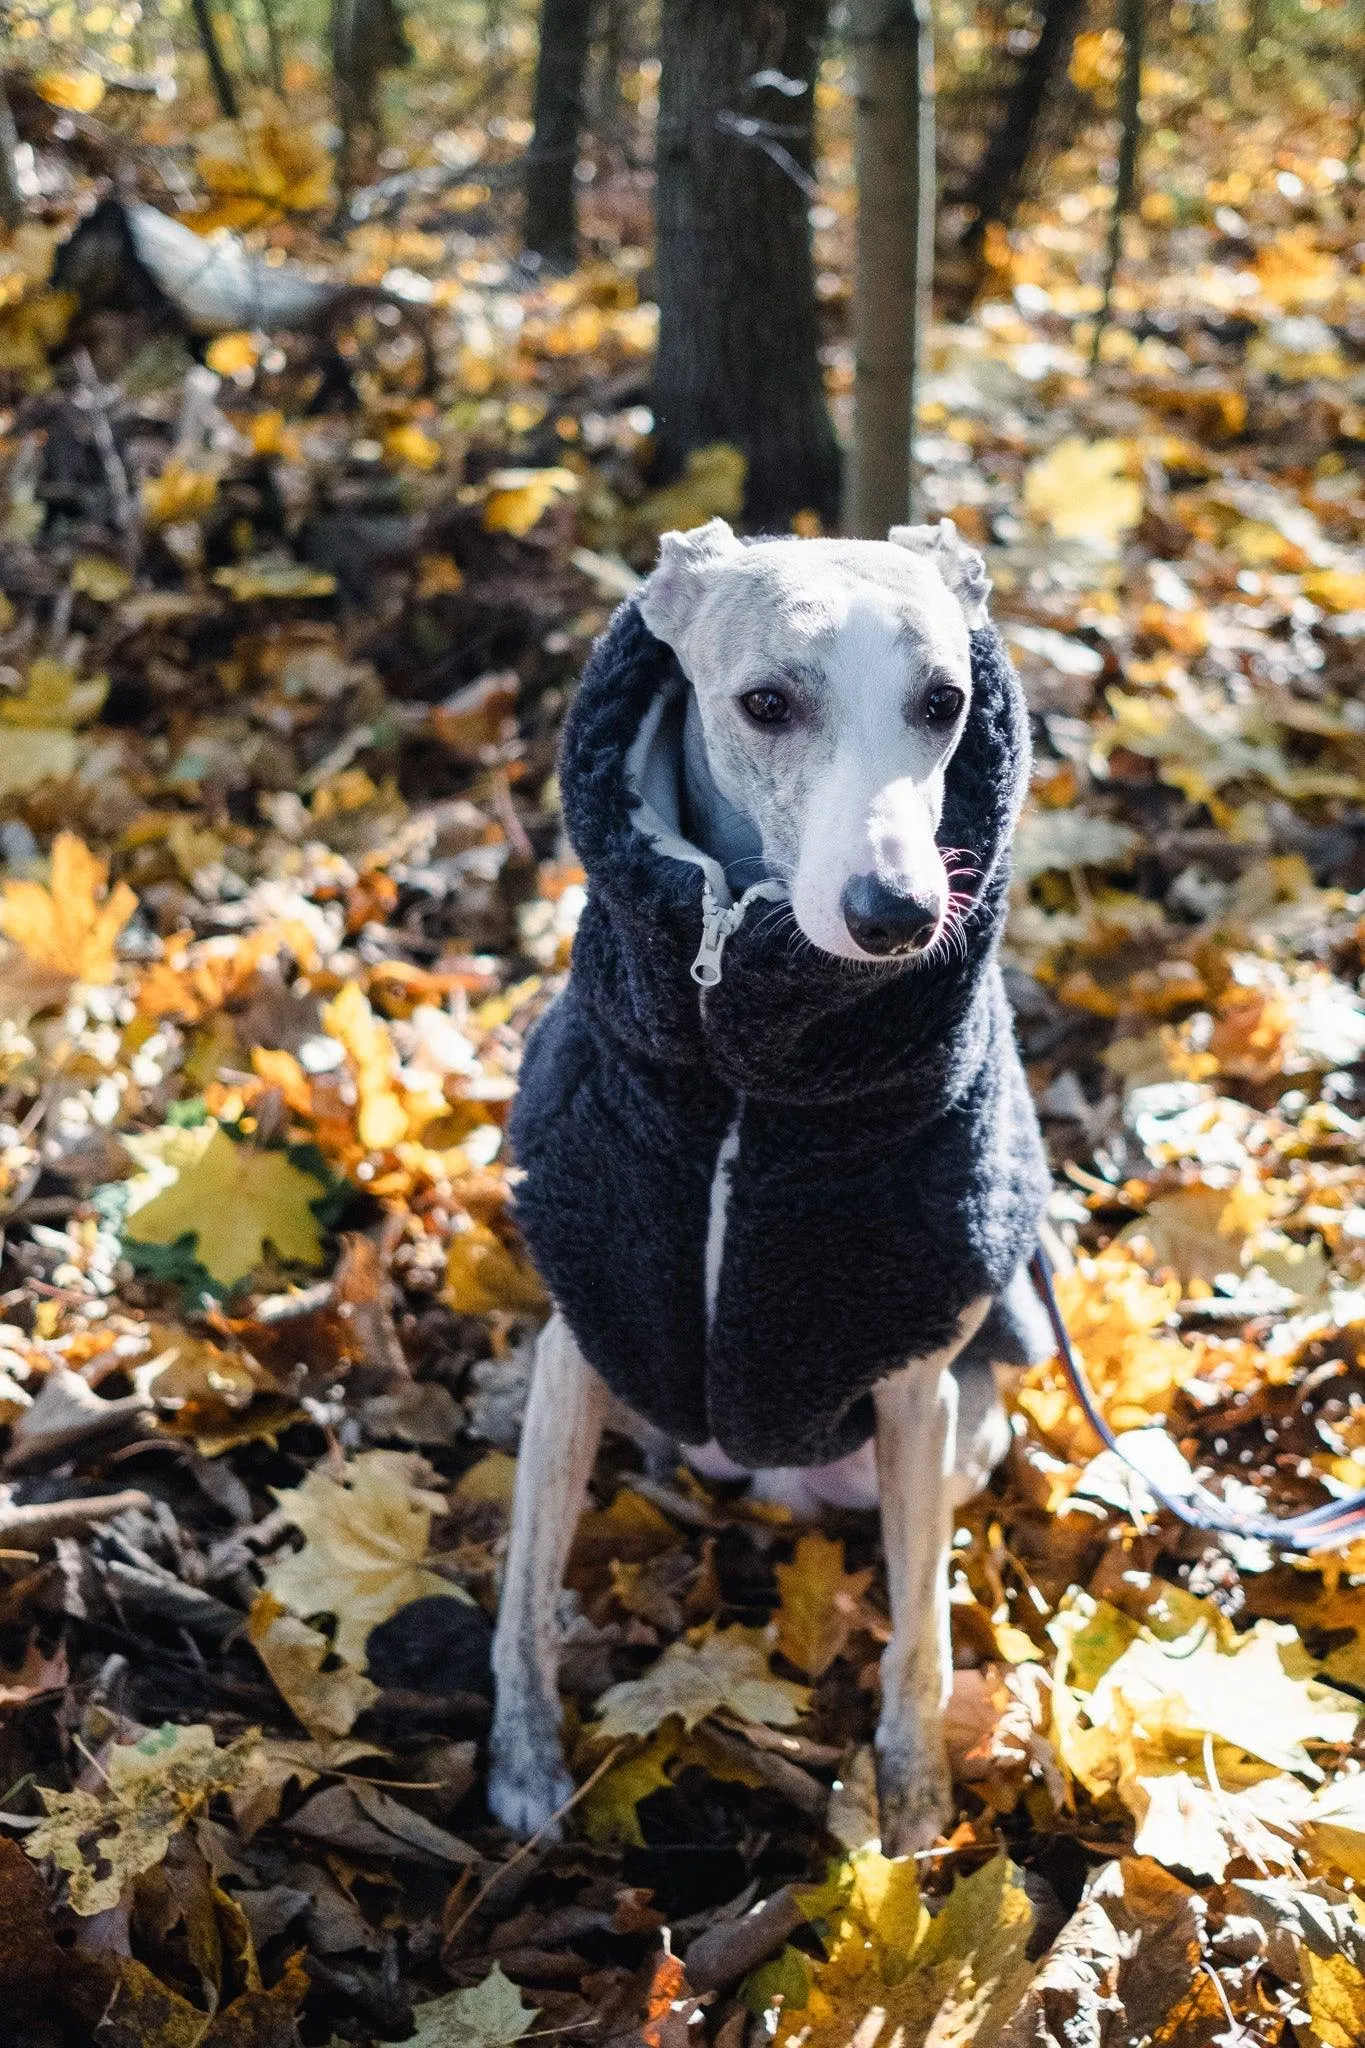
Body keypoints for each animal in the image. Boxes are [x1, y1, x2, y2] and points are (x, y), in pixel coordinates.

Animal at [493, 516, 1055, 1859]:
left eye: (944, 701)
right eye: (765, 702)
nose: (898, 913)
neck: (741, 1049)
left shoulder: (913, 1380)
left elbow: (921, 1640)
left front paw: (915, 1808)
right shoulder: (582, 1327)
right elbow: (524, 1583)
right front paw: (526, 1767)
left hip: (957, 1430)